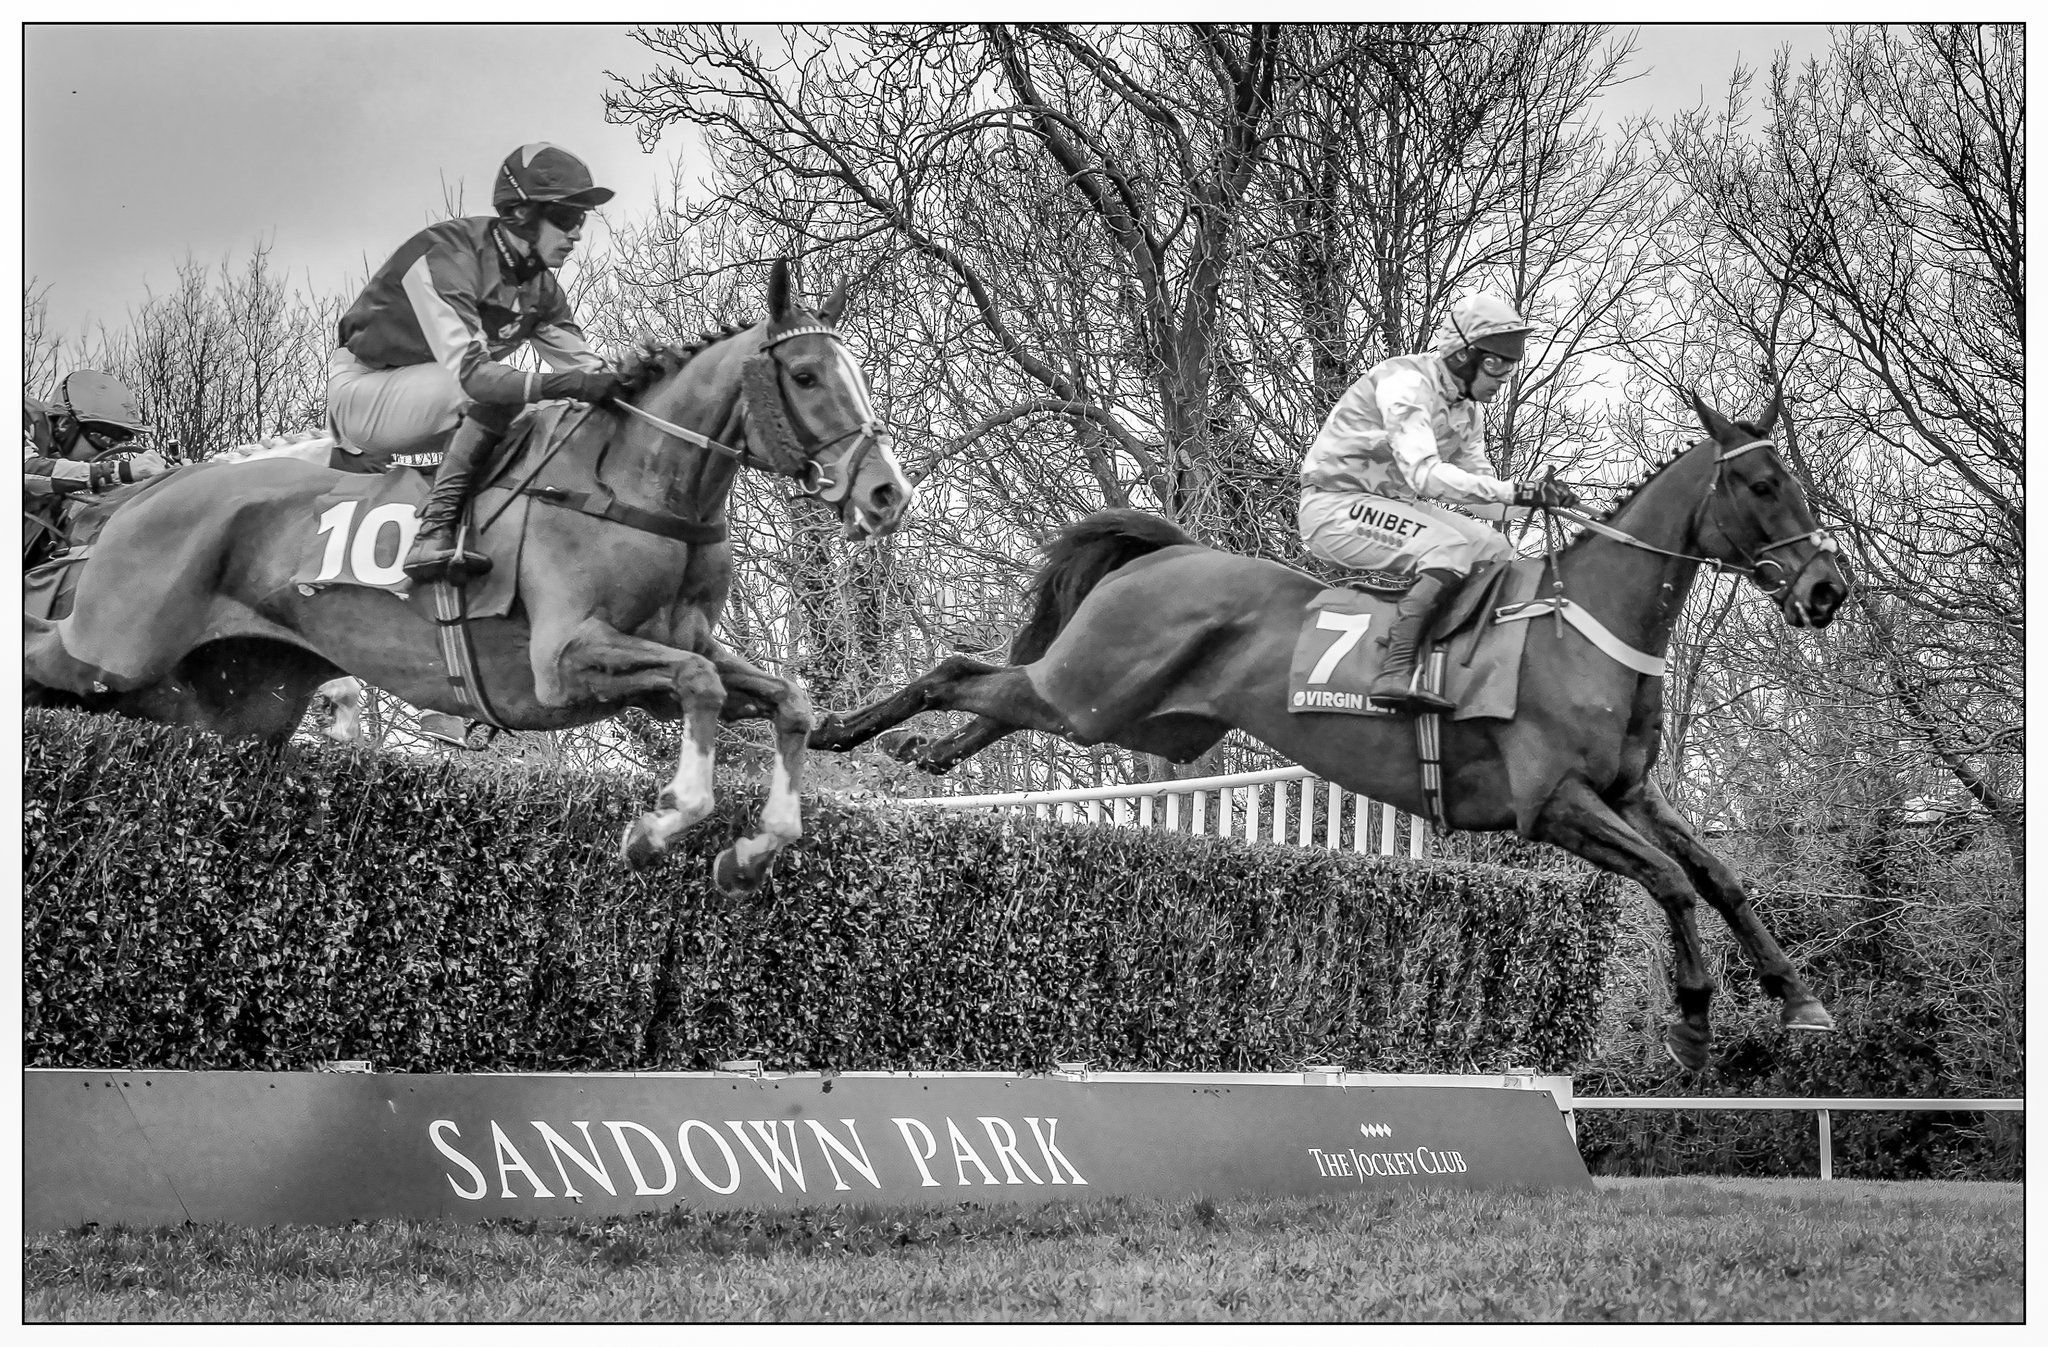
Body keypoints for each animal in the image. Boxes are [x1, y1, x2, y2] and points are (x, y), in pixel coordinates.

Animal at [25, 261, 913, 892]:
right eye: (806, 376)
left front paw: (753, 850)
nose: (886, 492)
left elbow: (784, 699)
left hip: (219, 700)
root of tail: (152, 487)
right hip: (115, 647)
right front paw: (658, 826)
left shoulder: (678, 653)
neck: (635, 483)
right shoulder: (564, 661)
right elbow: (698, 685)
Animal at [815, 393, 1859, 1064]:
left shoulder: (1627, 791)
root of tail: (1169, 553)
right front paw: (1693, 1019)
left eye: (1795, 478)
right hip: (1090, 692)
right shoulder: (1552, 804)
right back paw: (845, 732)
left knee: (989, 688)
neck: (1578, 625)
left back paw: (926, 751)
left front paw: (1799, 997)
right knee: (958, 671)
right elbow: (1673, 881)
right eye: (1762, 483)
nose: (1825, 590)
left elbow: (1719, 875)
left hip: (1137, 720)